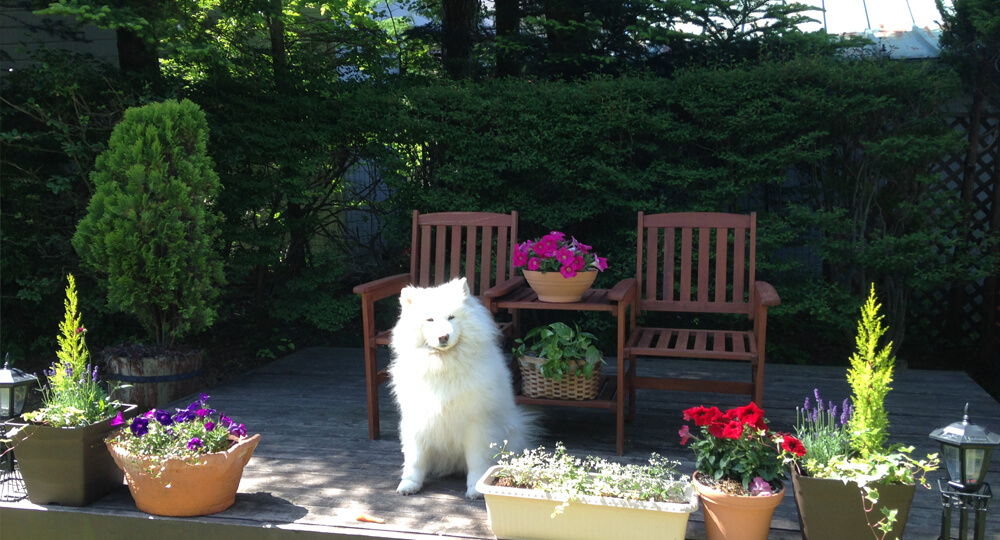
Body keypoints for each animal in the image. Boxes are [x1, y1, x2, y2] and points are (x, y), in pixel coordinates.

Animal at [386, 276, 536, 500]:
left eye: (451, 317)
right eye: (430, 320)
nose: (443, 337)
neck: (444, 365)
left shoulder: (476, 424)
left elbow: (477, 462)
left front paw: (475, 488)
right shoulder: (418, 421)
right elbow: (415, 460)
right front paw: (409, 484)